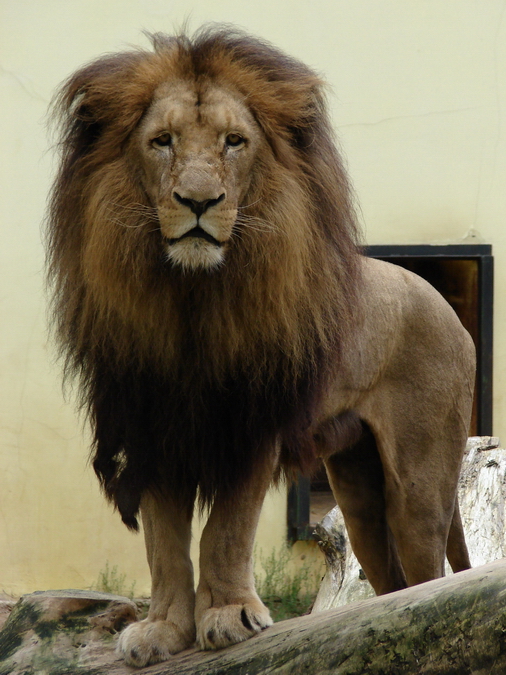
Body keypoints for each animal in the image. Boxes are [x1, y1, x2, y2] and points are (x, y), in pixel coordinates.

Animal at [47, 27, 475, 667]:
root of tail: (446, 304)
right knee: (388, 579)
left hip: (420, 481)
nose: (199, 202)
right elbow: (163, 541)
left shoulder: (248, 424)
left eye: (235, 142)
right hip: (358, 487)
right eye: (162, 142)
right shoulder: (153, 427)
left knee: (428, 578)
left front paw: (229, 618)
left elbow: (225, 530)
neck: (189, 302)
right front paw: (163, 629)